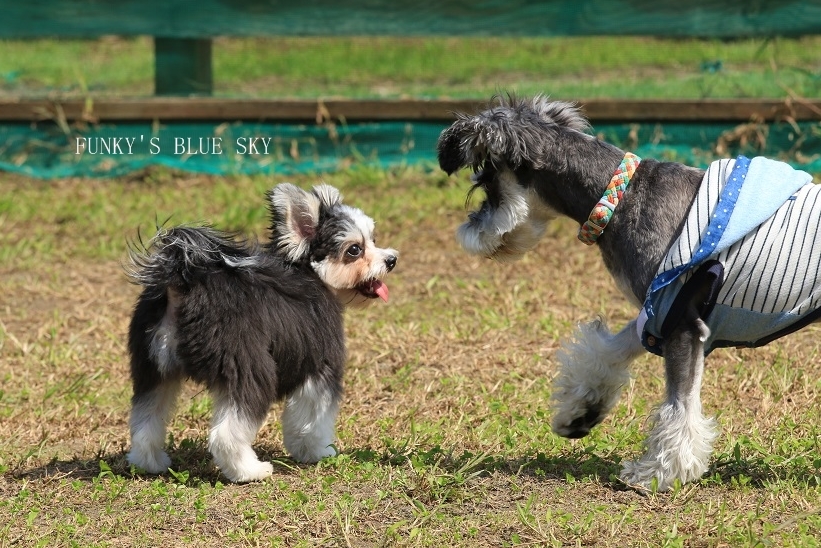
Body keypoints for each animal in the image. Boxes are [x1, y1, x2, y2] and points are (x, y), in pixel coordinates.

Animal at [123, 183, 398, 480]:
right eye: (354, 250)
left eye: (373, 239)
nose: (391, 260)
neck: (311, 274)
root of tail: (184, 283)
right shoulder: (320, 366)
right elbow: (312, 420)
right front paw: (317, 452)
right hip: (249, 367)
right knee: (226, 433)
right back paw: (249, 470)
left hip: (154, 369)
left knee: (145, 421)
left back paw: (150, 463)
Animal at [438, 95, 820, 492]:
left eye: (486, 183)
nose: (468, 233)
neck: (617, 198)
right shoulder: (657, 313)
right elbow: (608, 351)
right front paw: (580, 413)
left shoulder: (680, 322)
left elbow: (680, 407)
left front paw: (658, 473)